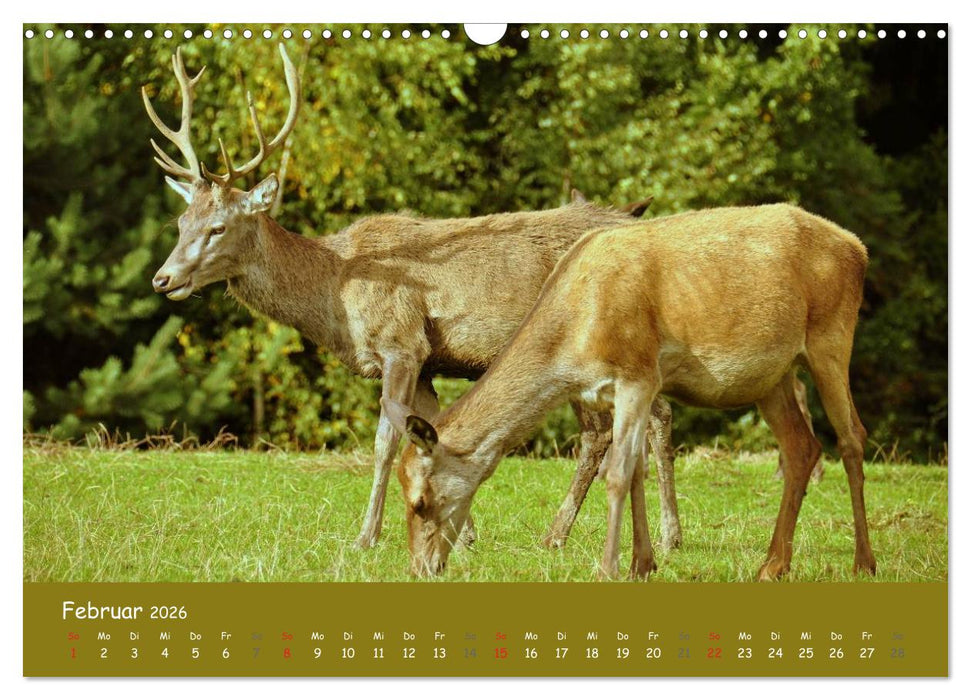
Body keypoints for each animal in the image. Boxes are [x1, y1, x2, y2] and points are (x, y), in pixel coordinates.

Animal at [143, 45, 682, 552]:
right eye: (181, 222)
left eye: (218, 227)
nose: (162, 279)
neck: (337, 295)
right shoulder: (427, 361)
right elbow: (433, 431)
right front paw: (461, 536)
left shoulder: (402, 343)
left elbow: (386, 440)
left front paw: (367, 536)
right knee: (649, 415)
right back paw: (650, 535)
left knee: (614, 427)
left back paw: (582, 535)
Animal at [387, 203, 876, 581]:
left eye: (419, 501)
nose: (420, 567)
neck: (576, 336)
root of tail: (858, 247)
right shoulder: (610, 391)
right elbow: (636, 471)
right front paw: (644, 564)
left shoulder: (637, 375)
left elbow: (619, 473)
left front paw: (609, 568)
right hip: (772, 378)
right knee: (801, 447)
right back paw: (773, 565)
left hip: (831, 339)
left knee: (852, 437)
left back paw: (863, 562)